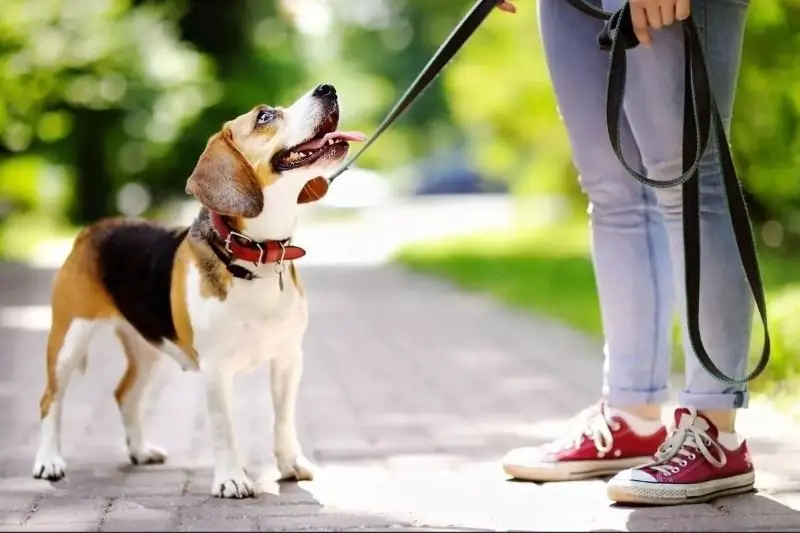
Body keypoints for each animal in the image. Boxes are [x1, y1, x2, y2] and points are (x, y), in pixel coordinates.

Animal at [31, 84, 368, 498]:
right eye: (265, 117)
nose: (327, 88)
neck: (256, 256)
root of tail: (93, 229)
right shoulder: (216, 369)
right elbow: (225, 428)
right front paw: (232, 479)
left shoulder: (289, 359)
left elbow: (283, 419)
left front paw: (290, 464)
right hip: (68, 339)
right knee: (50, 400)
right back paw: (49, 462)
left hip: (148, 348)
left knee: (125, 395)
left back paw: (140, 450)